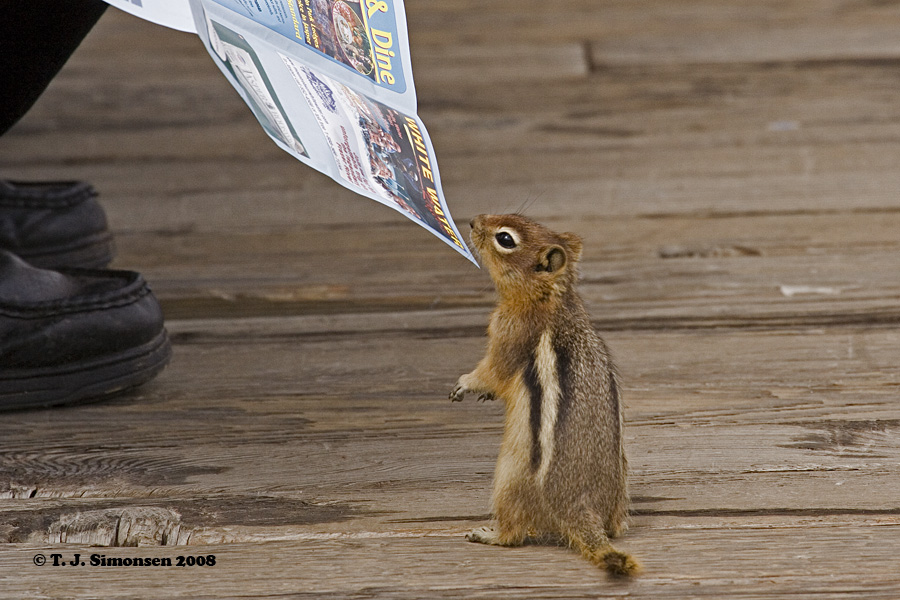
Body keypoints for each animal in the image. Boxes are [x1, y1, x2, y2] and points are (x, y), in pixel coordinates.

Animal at [450, 214, 640, 576]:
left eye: (505, 239)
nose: (473, 221)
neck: (551, 297)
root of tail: (579, 504)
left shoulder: (508, 335)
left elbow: (492, 372)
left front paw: (466, 384)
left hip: (508, 478)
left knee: (513, 534)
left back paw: (489, 534)